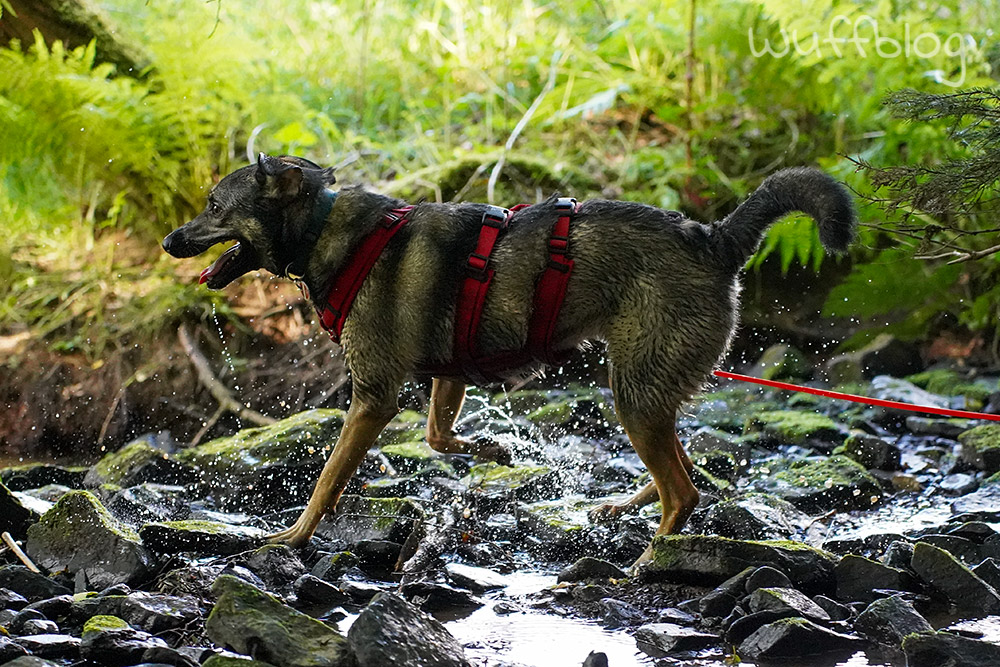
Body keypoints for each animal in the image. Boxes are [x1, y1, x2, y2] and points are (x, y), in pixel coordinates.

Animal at [164, 154, 860, 568]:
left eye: (214, 206)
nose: (170, 240)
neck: (327, 231)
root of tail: (714, 239)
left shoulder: (373, 397)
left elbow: (327, 480)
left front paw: (295, 537)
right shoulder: (447, 374)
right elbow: (438, 436)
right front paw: (496, 452)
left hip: (634, 391)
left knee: (684, 491)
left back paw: (647, 560)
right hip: (648, 389)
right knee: (686, 473)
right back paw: (621, 507)